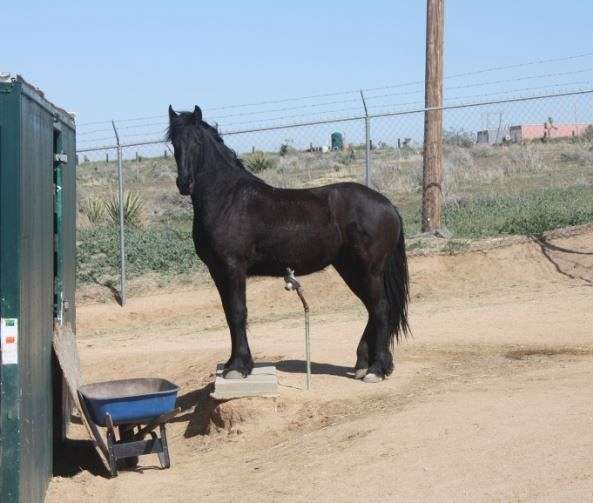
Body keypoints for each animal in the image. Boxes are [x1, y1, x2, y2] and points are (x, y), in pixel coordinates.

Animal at [165, 105, 408, 382]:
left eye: (196, 141)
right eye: (174, 142)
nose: (184, 183)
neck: (227, 198)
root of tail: (388, 205)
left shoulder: (232, 268)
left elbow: (238, 312)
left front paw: (238, 367)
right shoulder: (217, 271)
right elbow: (229, 314)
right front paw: (231, 364)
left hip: (368, 270)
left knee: (380, 309)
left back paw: (376, 369)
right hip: (350, 268)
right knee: (372, 309)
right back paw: (363, 364)